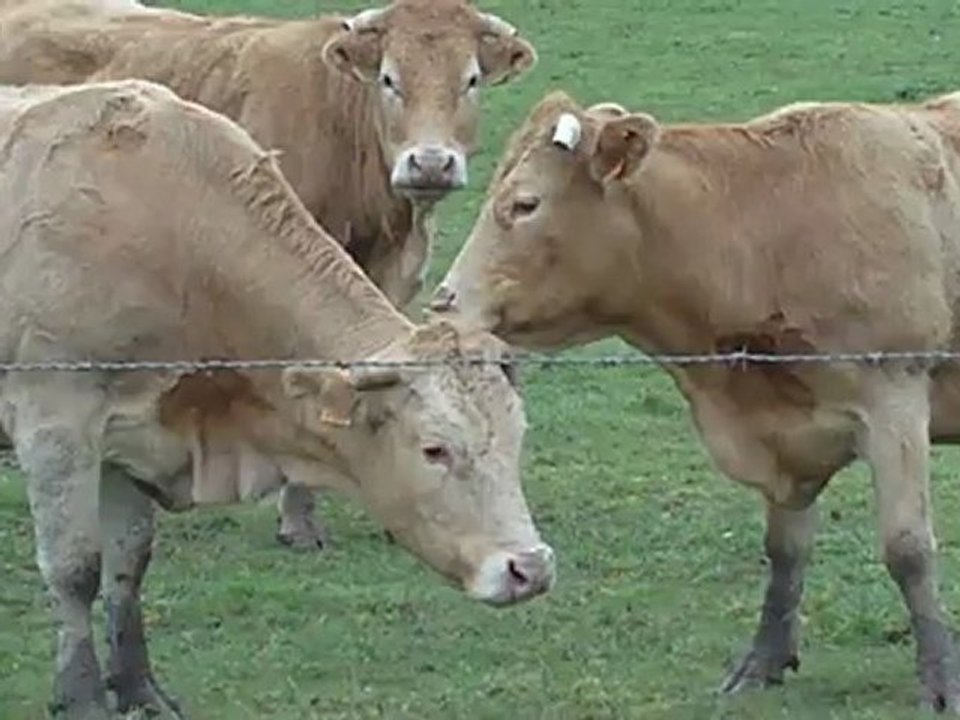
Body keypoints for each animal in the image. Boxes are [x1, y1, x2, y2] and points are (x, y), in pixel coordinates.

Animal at [0, 79, 554, 720]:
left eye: (516, 441)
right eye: (435, 449)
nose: (530, 569)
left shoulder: (130, 435)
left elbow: (127, 564)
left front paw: (140, 689)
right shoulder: (56, 422)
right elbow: (75, 569)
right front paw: (82, 697)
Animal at [430, 89, 960, 712]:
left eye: (524, 204)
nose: (443, 303)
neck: (772, 227)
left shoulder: (894, 402)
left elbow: (908, 549)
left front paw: (940, 677)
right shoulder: (782, 434)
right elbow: (784, 551)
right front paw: (762, 661)